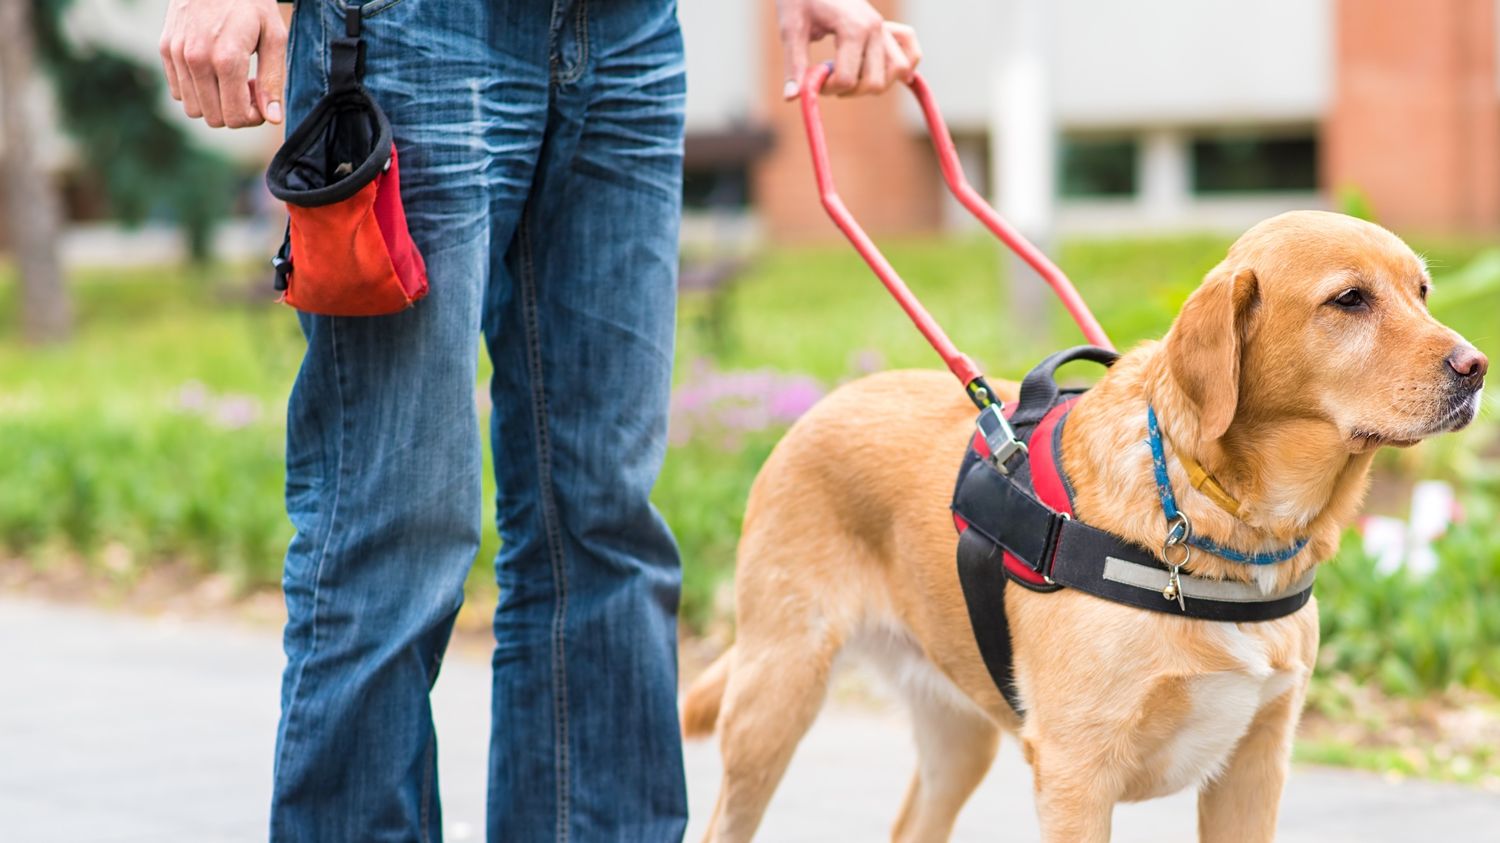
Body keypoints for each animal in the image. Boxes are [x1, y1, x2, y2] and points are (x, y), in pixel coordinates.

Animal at [684, 211, 1488, 840]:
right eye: (1349, 299)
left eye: (1422, 292)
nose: (1478, 365)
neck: (1222, 520)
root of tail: (821, 403)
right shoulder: (1076, 771)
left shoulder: (1255, 767)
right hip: (773, 698)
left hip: (956, 735)